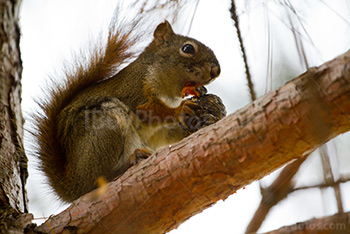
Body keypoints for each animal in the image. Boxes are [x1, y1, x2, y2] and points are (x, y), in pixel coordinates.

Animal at [34, 20, 226, 203]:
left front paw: (207, 118)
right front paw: (180, 109)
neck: (169, 93)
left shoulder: (159, 132)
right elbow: (150, 111)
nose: (216, 71)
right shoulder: (136, 90)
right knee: (94, 184)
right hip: (104, 129)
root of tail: (72, 186)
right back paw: (131, 160)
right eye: (187, 48)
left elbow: (168, 133)